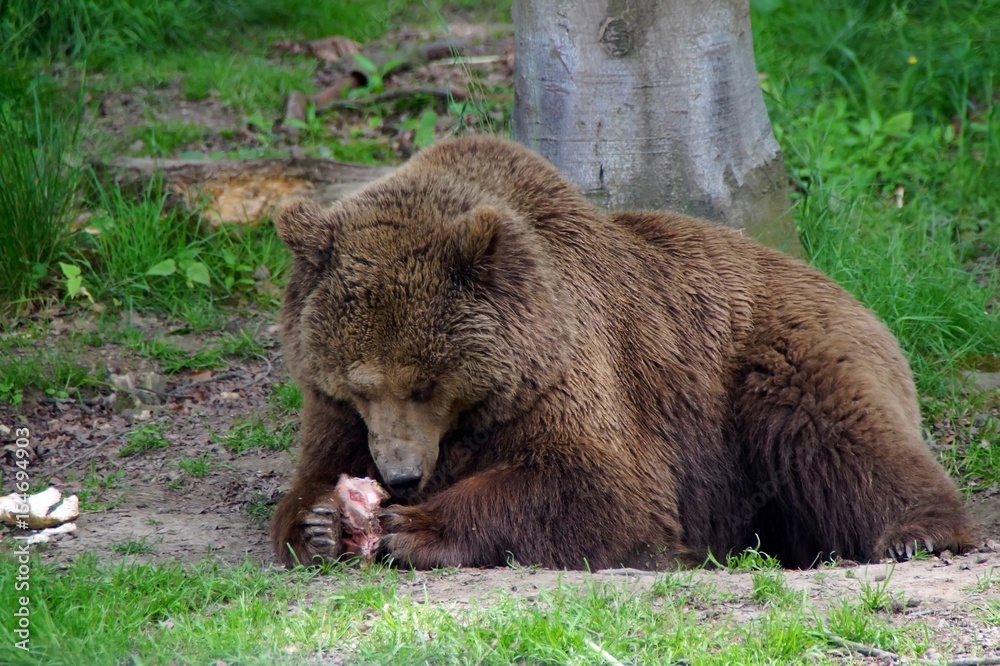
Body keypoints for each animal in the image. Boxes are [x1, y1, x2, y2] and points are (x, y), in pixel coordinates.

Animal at [268, 134, 976, 564]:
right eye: (360, 385)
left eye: (426, 383)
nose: (401, 476)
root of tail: (855, 296)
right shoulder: (333, 406)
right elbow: (313, 472)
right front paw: (322, 521)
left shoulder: (569, 368)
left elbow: (603, 488)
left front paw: (412, 527)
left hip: (778, 359)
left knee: (843, 435)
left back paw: (917, 533)